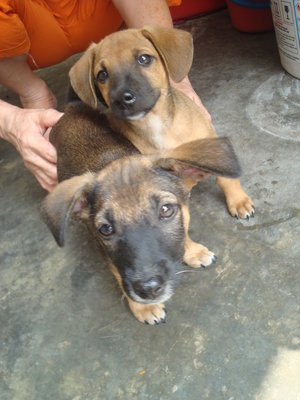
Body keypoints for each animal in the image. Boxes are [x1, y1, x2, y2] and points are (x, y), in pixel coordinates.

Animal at [41, 101, 241, 324]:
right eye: (105, 229)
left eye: (166, 210)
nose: (148, 289)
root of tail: (68, 109)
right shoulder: (108, 254)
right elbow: (119, 275)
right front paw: (143, 308)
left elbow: (183, 232)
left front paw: (192, 251)